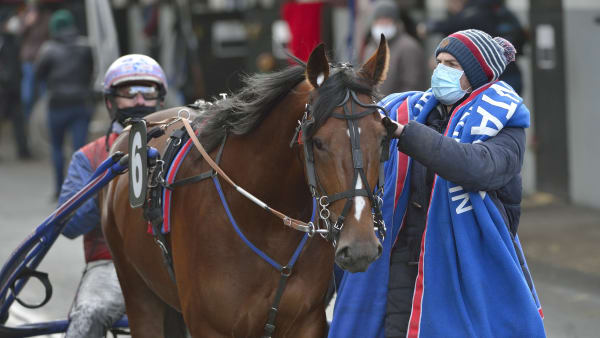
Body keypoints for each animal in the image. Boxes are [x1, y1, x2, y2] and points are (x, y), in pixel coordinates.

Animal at [102, 38, 394, 336]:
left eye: (383, 138)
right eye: (318, 142)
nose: (360, 247)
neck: (264, 226)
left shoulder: (307, 321)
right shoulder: (208, 325)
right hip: (136, 289)